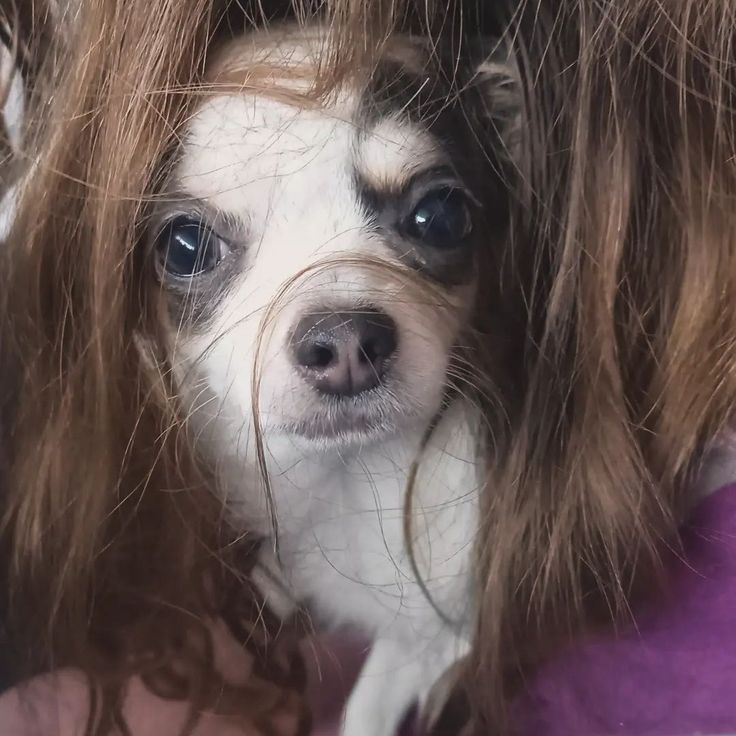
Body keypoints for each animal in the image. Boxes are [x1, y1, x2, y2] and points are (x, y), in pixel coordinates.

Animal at [155, 24, 520, 736]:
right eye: (184, 247)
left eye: (441, 216)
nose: (346, 340)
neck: (348, 482)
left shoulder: (438, 629)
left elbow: (371, 705)